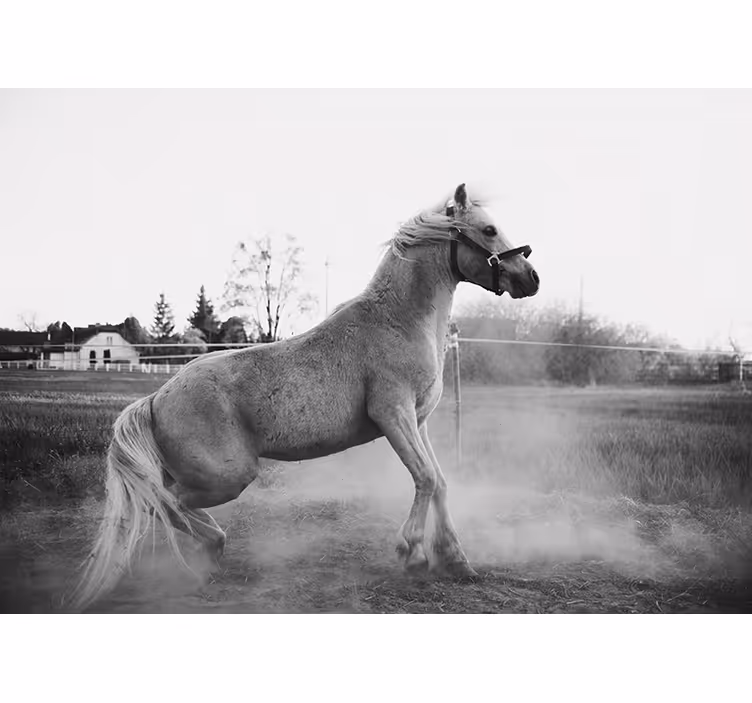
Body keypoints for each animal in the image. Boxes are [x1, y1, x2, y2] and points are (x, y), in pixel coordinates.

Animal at [72, 183, 539, 610]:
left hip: (196, 474)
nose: (531, 278)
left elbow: (439, 482)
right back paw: (210, 550)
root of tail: (156, 399)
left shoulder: (418, 421)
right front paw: (413, 554)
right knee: (166, 504)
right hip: (228, 477)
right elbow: (425, 478)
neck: (399, 321)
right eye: (489, 229)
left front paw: (457, 561)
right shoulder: (393, 414)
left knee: (157, 500)